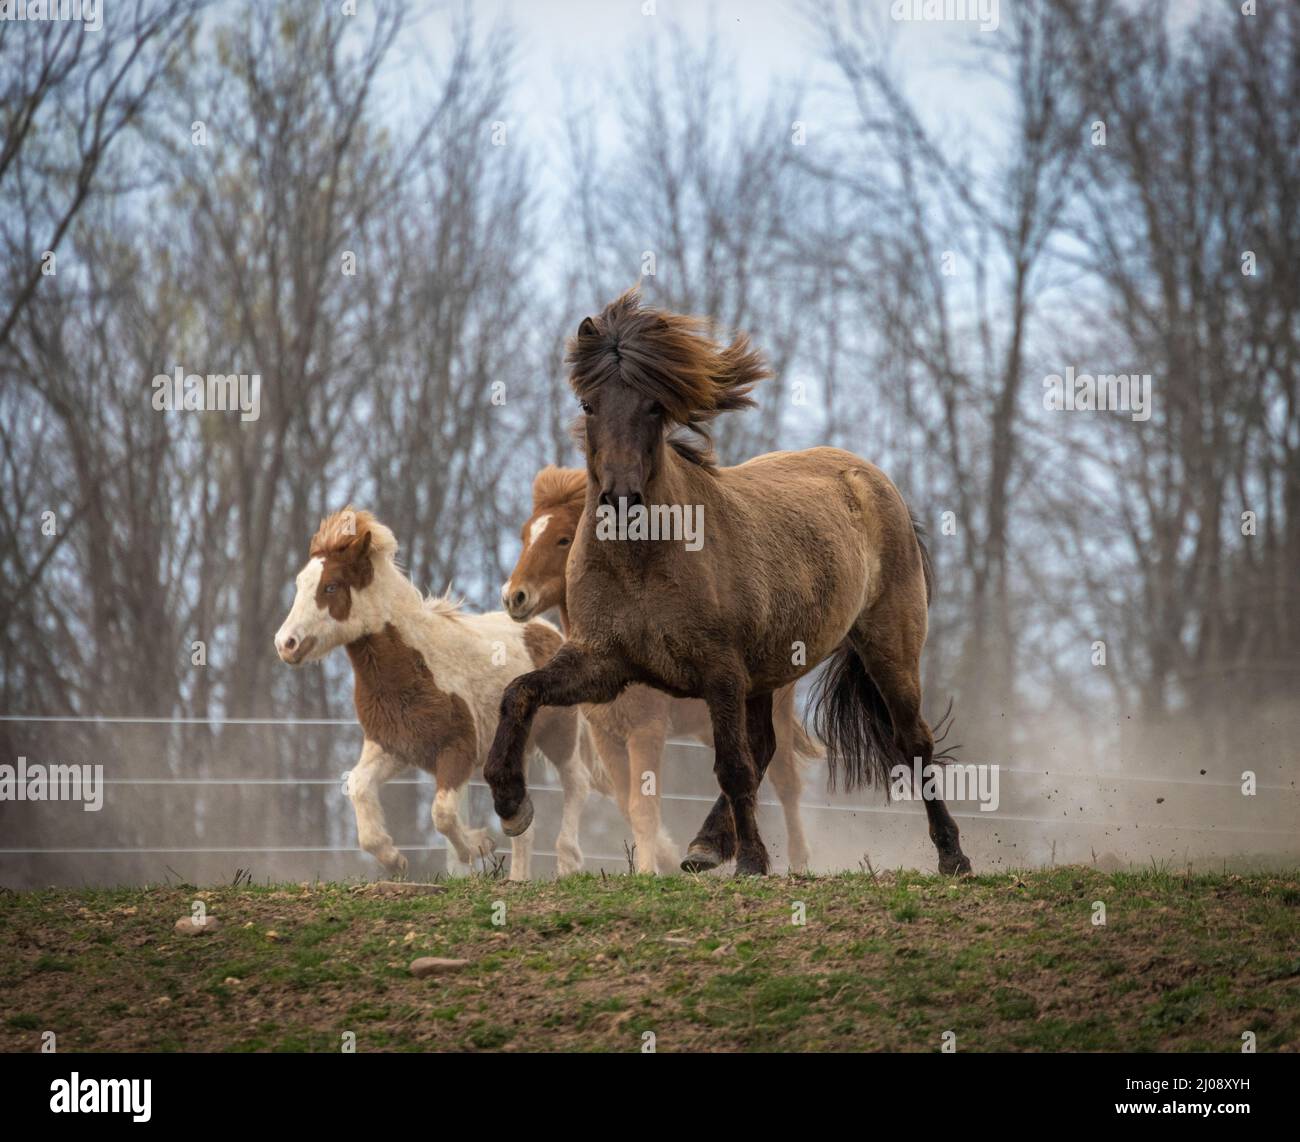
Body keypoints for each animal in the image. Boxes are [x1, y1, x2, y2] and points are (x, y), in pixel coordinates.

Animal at [278, 512, 598, 884]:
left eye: (330, 586)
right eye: (300, 584)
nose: (285, 644)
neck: (415, 665)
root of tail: (549, 632)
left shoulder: (457, 749)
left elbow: (442, 813)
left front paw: (477, 846)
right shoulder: (392, 748)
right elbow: (358, 787)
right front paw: (394, 860)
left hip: (560, 736)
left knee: (576, 783)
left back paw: (568, 861)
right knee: (525, 826)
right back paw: (518, 877)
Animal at [501, 465, 816, 874]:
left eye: (563, 538)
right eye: (526, 535)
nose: (514, 596)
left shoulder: (646, 732)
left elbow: (644, 807)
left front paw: (648, 870)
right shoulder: (607, 737)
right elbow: (627, 805)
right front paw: (663, 860)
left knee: (787, 784)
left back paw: (795, 861)